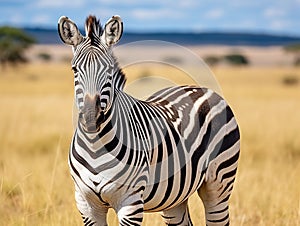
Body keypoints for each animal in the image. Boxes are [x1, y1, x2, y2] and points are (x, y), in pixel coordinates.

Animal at [58, 15, 239, 225]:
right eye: (75, 70)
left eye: (109, 70)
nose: (90, 117)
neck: (95, 146)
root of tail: (199, 88)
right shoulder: (86, 204)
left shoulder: (130, 202)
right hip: (175, 196)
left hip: (219, 183)